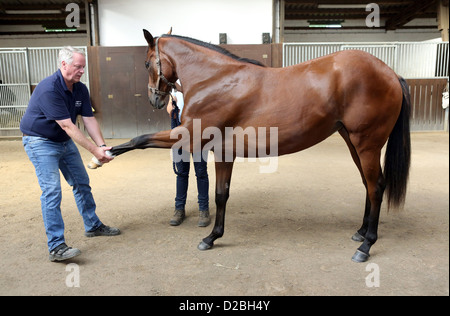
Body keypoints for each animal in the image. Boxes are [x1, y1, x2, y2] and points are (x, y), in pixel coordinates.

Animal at [109, 29, 412, 262]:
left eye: (147, 63)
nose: (155, 100)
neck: (215, 80)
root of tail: (390, 73)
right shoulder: (223, 151)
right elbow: (221, 194)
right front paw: (212, 237)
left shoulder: (189, 136)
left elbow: (140, 140)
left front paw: (106, 154)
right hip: (353, 142)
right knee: (368, 185)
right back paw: (360, 232)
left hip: (367, 144)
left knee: (376, 187)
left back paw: (366, 245)